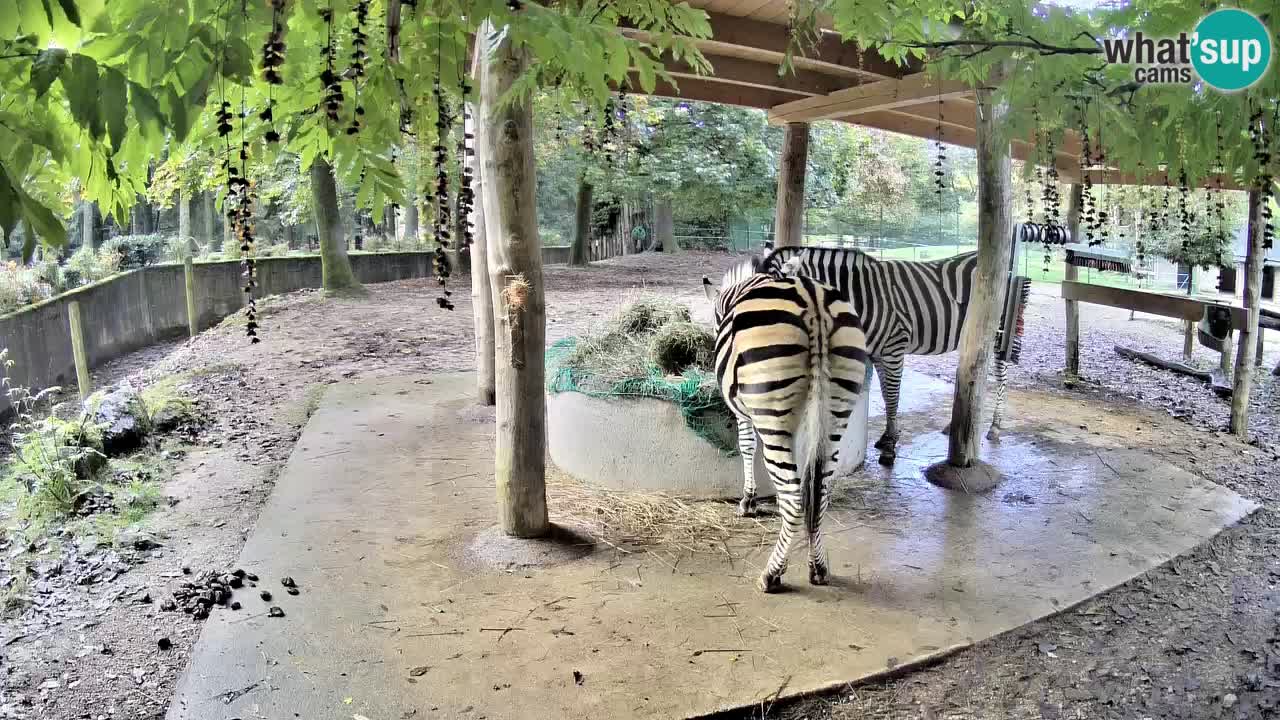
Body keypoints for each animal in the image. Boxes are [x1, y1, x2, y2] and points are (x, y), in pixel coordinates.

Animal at [701, 256, 870, 589]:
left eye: (715, 318)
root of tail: (813, 302)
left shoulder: (745, 413)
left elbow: (746, 446)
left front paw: (748, 502)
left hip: (772, 413)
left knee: (794, 496)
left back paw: (772, 573)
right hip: (835, 412)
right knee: (819, 491)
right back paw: (818, 567)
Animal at [757, 243, 1008, 461]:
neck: (861, 296)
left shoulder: (894, 349)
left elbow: (893, 395)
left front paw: (889, 447)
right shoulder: (877, 354)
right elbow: (887, 395)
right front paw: (889, 436)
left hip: (1000, 332)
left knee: (1001, 375)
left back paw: (995, 427)